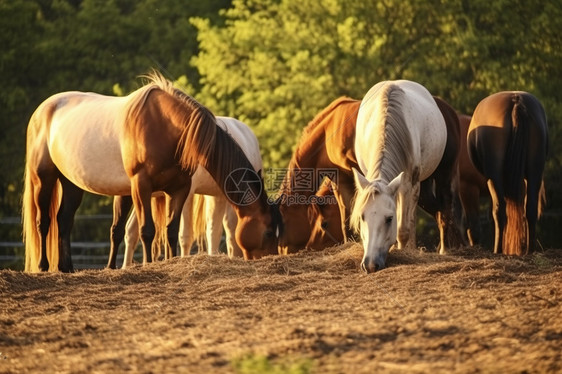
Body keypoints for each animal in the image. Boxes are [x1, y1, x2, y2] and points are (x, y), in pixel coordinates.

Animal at [350, 79, 446, 272]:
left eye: (389, 219)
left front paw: (403, 252)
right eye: (362, 217)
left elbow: (403, 229)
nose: (370, 265)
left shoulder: (408, 184)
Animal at [464, 91, 548, 256]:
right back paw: (530, 250)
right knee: (531, 208)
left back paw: (497, 249)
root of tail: (516, 101)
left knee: (500, 210)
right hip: (535, 171)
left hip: (494, 175)